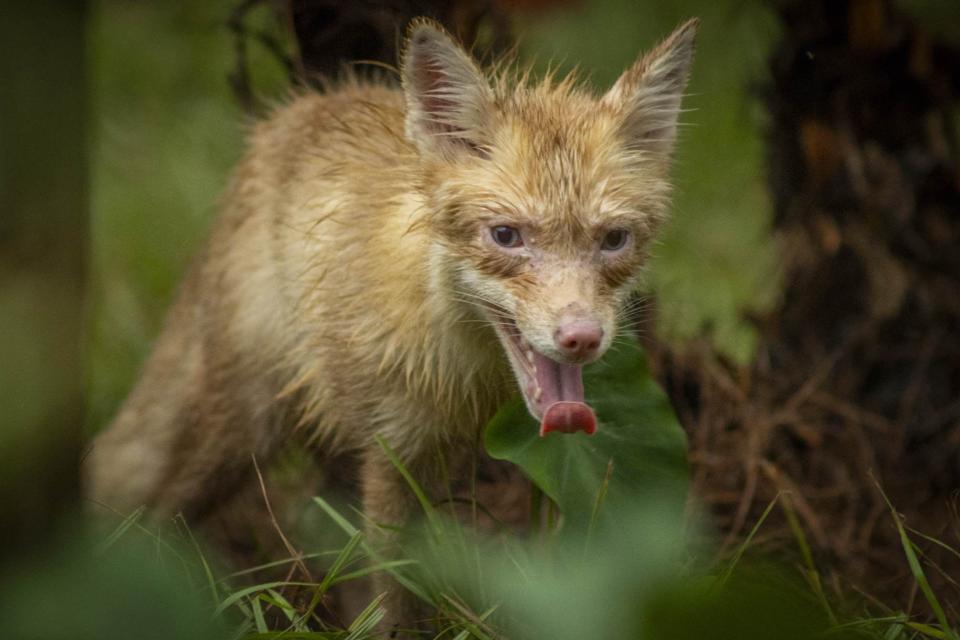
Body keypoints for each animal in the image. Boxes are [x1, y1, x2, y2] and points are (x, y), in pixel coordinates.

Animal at [84, 16, 696, 632]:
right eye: (506, 236)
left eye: (613, 240)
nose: (581, 338)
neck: (460, 377)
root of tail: (294, 112)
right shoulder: (391, 447)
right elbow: (393, 585)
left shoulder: (465, 458)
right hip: (235, 431)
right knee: (156, 514)